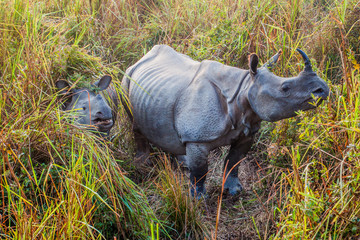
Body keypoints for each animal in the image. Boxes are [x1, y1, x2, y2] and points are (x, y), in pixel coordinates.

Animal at [121, 45, 330, 197]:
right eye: (285, 88)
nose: (323, 88)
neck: (244, 88)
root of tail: (142, 57)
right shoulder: (197, 138)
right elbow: (201, 169)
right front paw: (198, 198)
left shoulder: (247, 131)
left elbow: (234, 160)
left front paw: (234, 191)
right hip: (126, 79)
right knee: (134, 123)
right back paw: (143, 164)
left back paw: (183, 162)